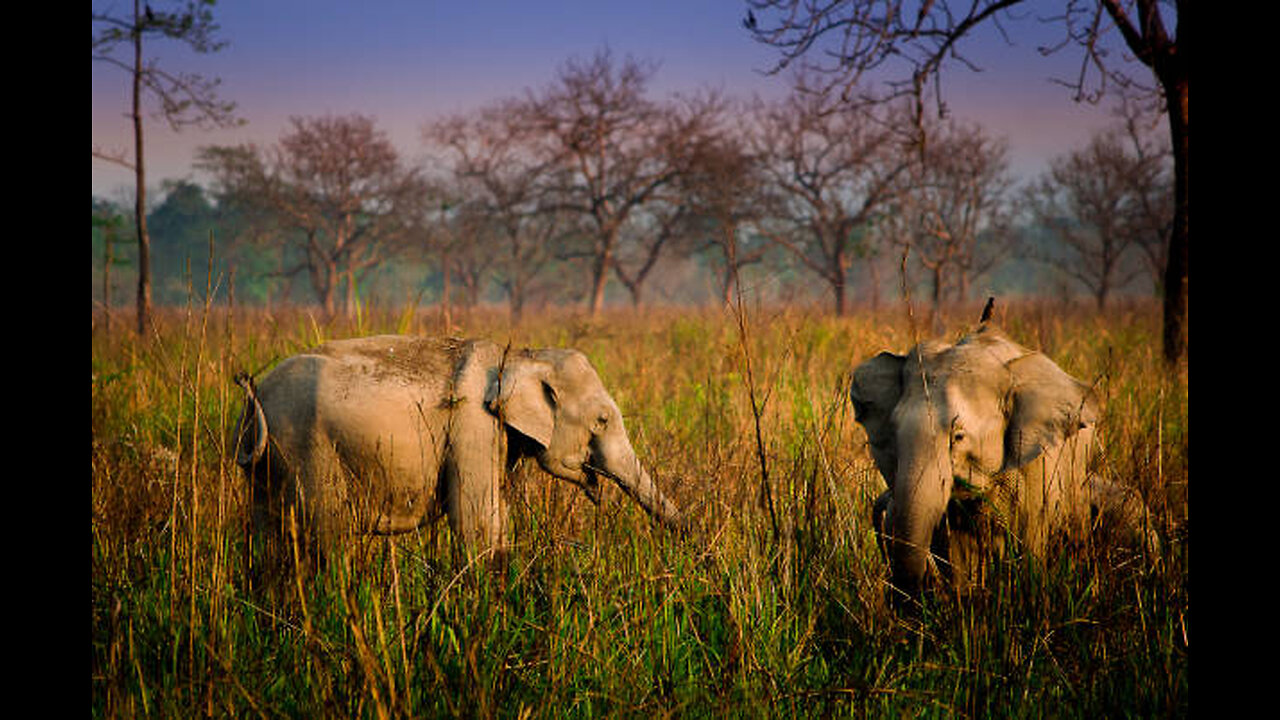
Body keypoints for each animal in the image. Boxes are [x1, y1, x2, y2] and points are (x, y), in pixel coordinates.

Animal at [235, 335, 686, 566]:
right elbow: (478, 523)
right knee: (325, 534)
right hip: (307, 448)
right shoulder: (474, 428)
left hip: (268, 464)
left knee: (265, 538)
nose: (690, 536)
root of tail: (256, 395)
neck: (521, 355)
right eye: (602, 420)